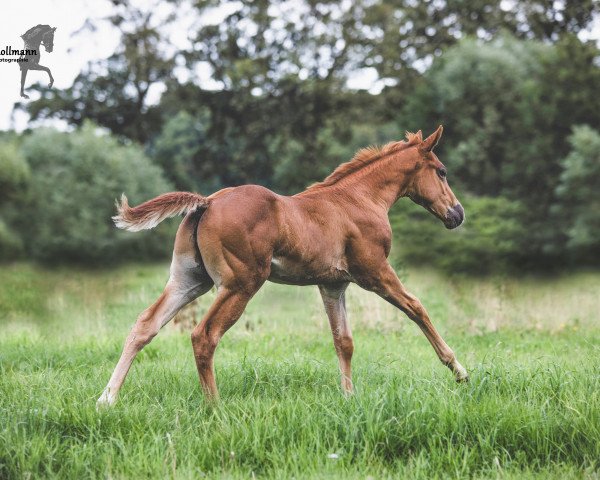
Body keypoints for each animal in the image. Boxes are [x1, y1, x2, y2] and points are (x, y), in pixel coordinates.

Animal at [97, 125, 468, 406]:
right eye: (442, 171)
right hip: (240, 283)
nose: (458, 214)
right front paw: (459, 370)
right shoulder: (375, 272)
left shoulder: (332, 284)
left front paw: (349, 398)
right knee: (204, 335)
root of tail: (207, 202)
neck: (359, 200)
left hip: (189, 280)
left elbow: (344, 341)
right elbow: (417, 308)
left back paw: (107, 399)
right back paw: (214, 408)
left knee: (145, 325)